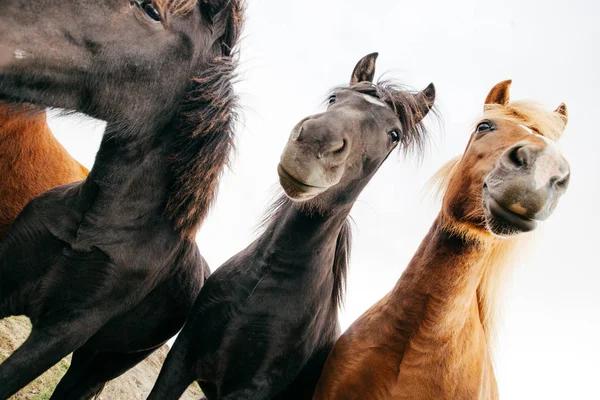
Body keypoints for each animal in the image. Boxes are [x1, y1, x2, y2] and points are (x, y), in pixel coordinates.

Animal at [145, 53, 436, 400]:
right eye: (335, 98)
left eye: (394, 134)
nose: (316, 140)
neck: (265, 279)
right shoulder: (182, 356)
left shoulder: (248, 390)